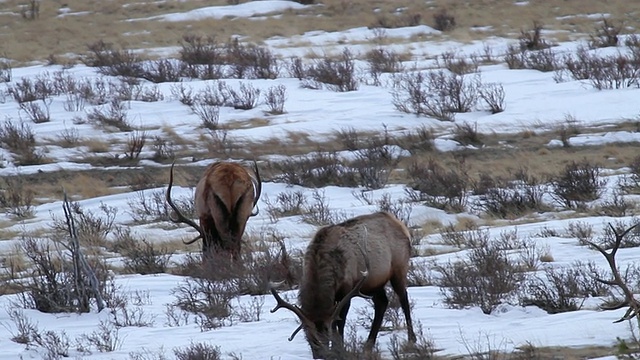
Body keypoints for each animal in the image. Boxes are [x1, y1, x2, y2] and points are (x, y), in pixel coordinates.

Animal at [268, 211, 416, 358]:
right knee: (382, 303)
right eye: (309, 335)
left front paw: (339, 348)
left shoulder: (347, 289)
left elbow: (340, 321)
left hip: (399, 268)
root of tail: (400, 225)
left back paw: (411, 339)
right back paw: (368, 345)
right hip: (374, 282)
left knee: (404, 299)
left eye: (327, 333)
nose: (320, 355)